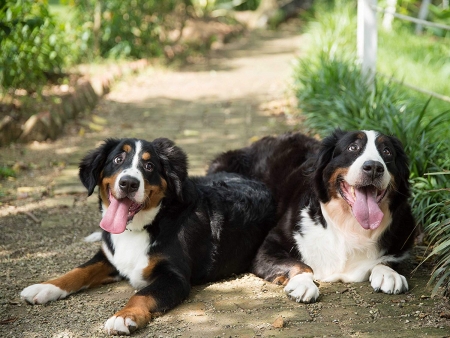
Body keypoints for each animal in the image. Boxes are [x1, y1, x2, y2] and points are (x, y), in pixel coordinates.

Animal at [21, 137, 278, 336]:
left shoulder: (174, 276)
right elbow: (78, 271)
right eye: (117, 160)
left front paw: (124, 316)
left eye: (149, 166)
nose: (128, 183)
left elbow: (142, 295)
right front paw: (45, 287)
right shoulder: (109, 257)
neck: (136, 229)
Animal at [209, 129, 416, 304]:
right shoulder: (269, 245)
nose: (373, 167)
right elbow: (303, 266)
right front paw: (303, 284)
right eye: (352, 148)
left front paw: (388, 273)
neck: (348, 226)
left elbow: (387, 260)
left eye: (387, 152)